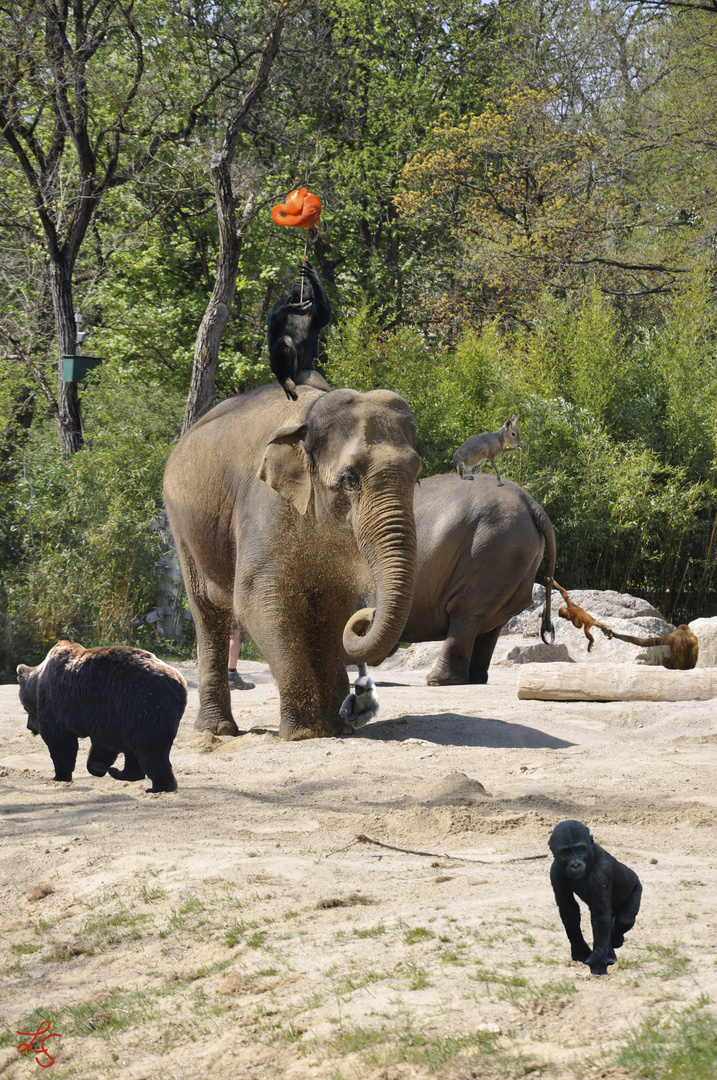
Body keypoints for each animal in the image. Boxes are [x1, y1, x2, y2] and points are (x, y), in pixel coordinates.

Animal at [18, 639, 188, 794]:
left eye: (25, 708)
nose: (29, 726)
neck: (38, 681)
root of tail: (180, 681)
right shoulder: (105, 713)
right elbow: (104, 743)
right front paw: (97, 766)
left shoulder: (58, 703)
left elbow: (60, 741)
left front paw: (59, 776)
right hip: (134, 712)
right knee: (136, 748)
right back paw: (121, 773)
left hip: (143, 704)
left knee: (151, 748)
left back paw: (159, 787)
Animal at [163, 382, 423, 743]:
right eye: (350, 479)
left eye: (417, 476)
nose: (368, 615)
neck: (308, 417)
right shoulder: (264, 505)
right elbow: (259, 602)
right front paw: (305, 733)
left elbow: (333, 610)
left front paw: (337, 728)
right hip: (183, 529)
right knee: (208, 614)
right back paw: (218, 730)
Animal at [264, 261, 332, 401]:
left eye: (306, 284)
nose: (300, 282)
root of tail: (297, 378)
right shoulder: (279, 302)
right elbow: (272, 328)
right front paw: (288, 308)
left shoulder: (316, 312)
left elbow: (325, 314)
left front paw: (313, 275)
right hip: (277, 369)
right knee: (285, 341)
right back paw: (285, 380)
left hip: (302, 374)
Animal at [371, 473, 557, 682]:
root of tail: (532, 503)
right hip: (515, 557)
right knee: (493, 624)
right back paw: (475, 679)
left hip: (490, 549)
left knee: (466, 611)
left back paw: (437, 681)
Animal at [546, 816, 639, 980]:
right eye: (566, 853)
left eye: (579, 849)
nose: (576, 865)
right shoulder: (555, 870)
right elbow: (568, 908)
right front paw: (580, 949)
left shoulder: (601, 871)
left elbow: (600, 916)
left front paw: (596, 961)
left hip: (636, 888)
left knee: (624, 920)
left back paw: (615, 940)